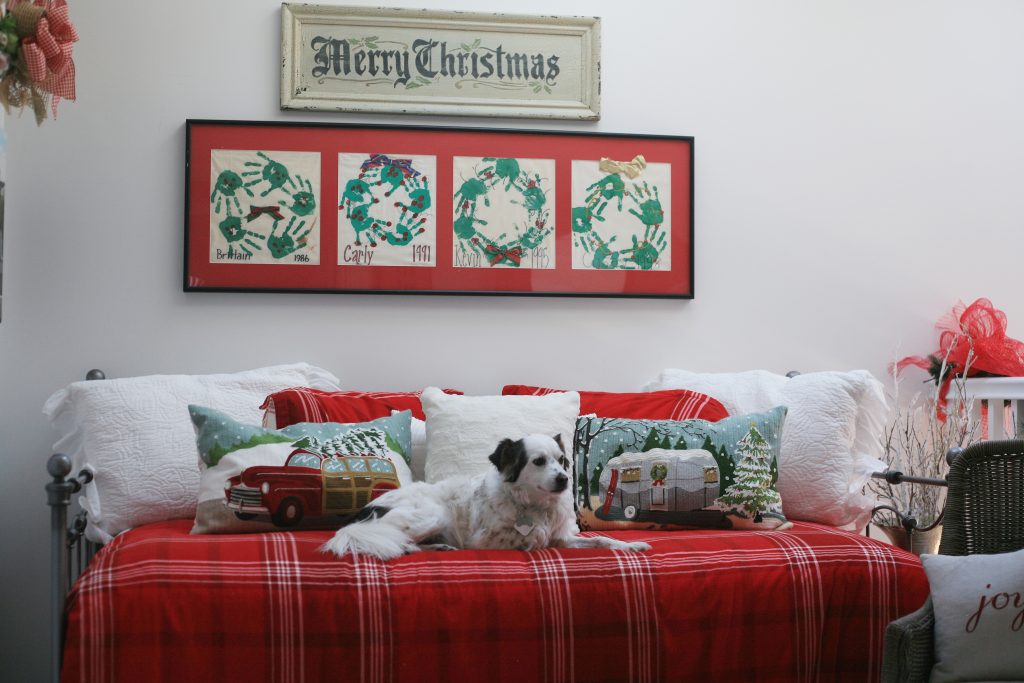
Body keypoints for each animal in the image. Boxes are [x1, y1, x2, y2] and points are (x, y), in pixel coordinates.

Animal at [323, 436, 651, 557]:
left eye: (561, 460)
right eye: (538, 461)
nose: (564, 479)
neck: (533, 506)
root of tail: (358, 518)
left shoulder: (561, 537)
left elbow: (602, 540)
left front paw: (631, 544)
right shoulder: (482, 540)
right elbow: (527, 539)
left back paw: (438, 546)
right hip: (432, 513)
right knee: (396, 543)